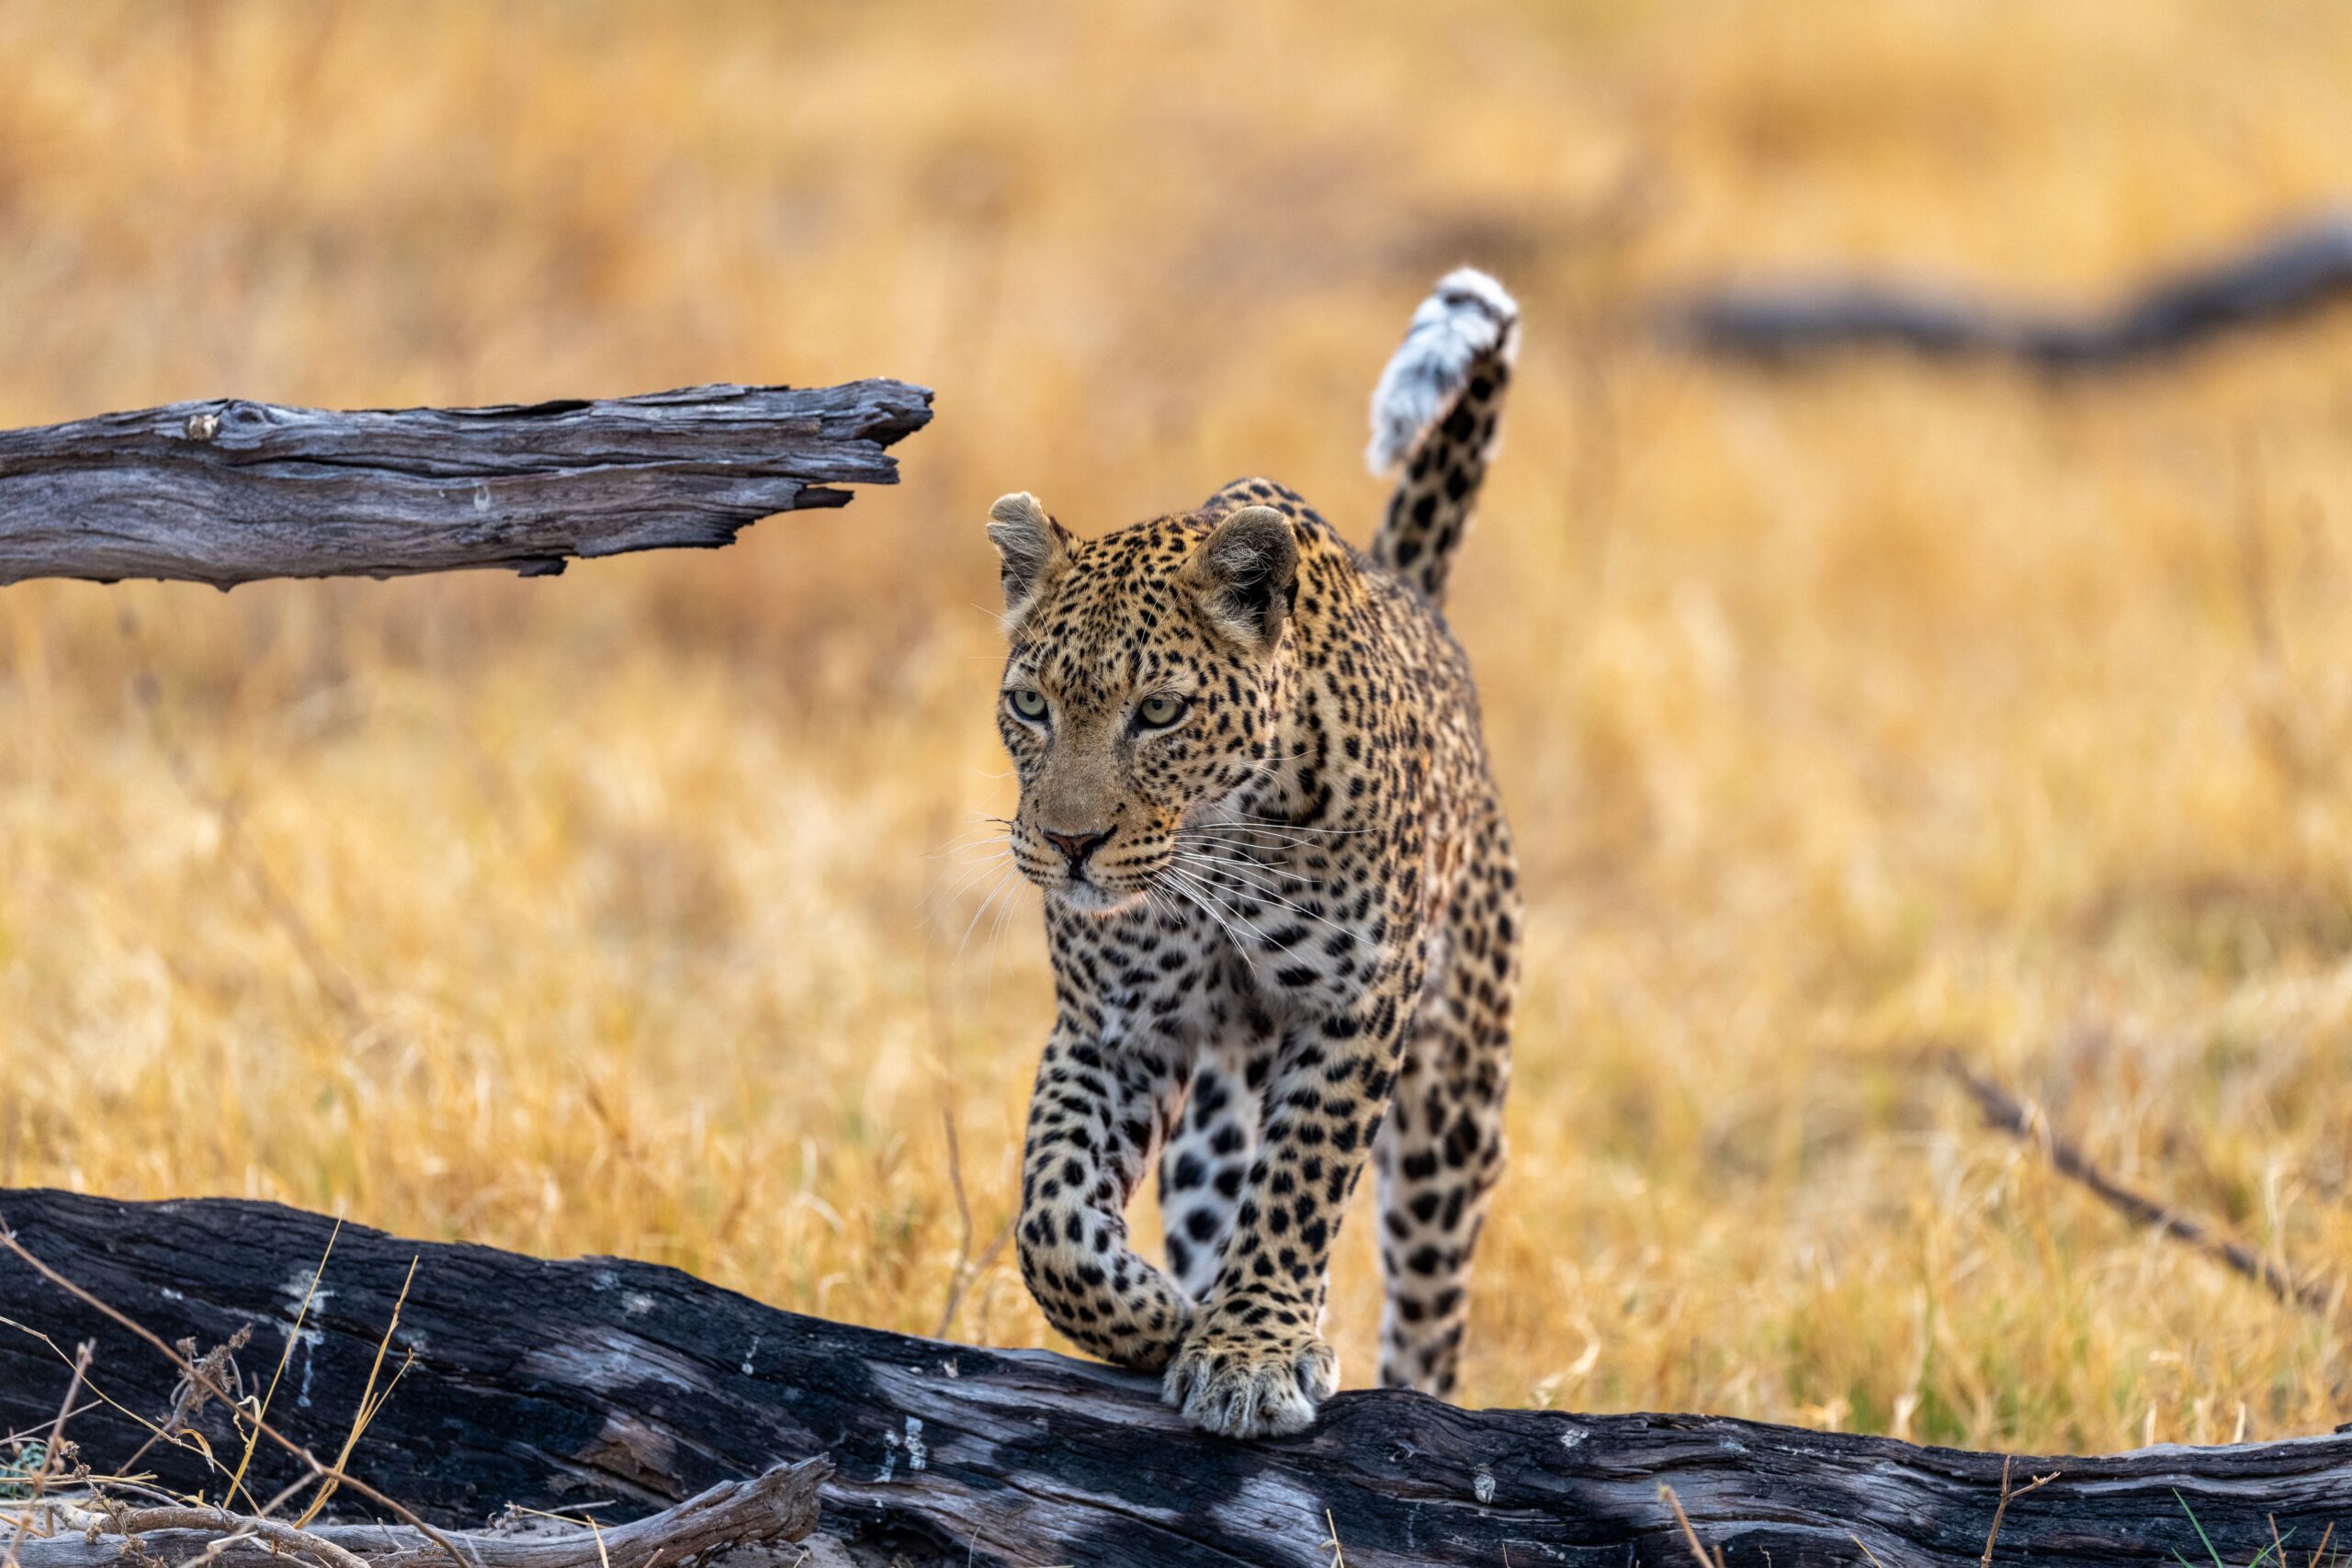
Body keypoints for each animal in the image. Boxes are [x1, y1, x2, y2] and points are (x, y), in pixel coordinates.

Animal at [985, 269, 1521, 1439]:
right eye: (1030, 705)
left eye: (1160, 711)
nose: (1069, 844)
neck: (1214, 855)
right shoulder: (1113, 1023)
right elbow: (1051, 1218)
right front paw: (1162, 1318)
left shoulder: (1355, 1006)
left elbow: (1300, 1185)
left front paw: (1248, 1352)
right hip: (1217, 1112)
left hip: (1453, 1100)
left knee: (1429, 1306)